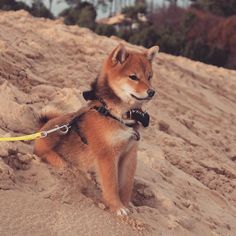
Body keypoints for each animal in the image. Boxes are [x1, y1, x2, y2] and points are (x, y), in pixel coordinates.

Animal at [33, 43, 159, 217]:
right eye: (133, 77)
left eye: (149, 77)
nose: (152, 92)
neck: (118, 114)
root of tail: (42, 128)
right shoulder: (107, 155)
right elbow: (111, 184)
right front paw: (117, 206)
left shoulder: (129, 154)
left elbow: (126, 185)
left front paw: (126, 204)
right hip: (58, 143)